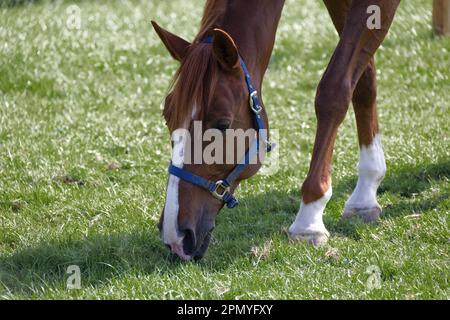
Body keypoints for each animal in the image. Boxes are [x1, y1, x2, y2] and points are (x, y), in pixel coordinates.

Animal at [152, 0, 400, 260]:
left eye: (222, 125)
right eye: (167, 117)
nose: (175, 236)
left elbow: (334, 90)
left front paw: (309, 219)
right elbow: (363, 82)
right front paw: (365, 194)